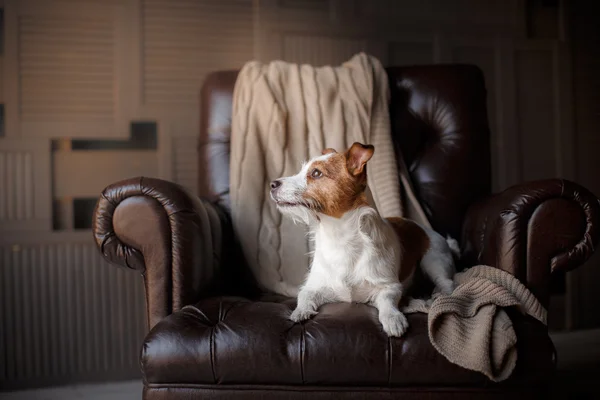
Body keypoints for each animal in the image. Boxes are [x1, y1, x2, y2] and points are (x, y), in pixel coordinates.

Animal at [270, 142, 458, 336]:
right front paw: (300, 311)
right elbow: (304, 295)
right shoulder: (315, 285)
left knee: (448, 282)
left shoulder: (390, 285)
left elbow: (387, 300)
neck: (338, 237)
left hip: (433, 260)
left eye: (316, 173)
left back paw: (438, 295)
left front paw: (393, 318)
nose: (272, 184)